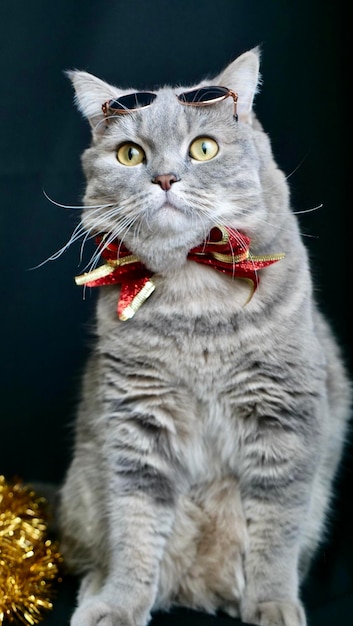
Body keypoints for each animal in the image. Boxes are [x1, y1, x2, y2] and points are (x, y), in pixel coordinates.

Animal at [57, 50, 350, 624]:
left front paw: (272, 603)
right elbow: (134, 526)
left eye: (204, 148)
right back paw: (98, 590)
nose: (165, 178)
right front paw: (119, 604)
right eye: (130, 154)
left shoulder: (286, 417)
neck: (197, 300)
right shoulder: (137, 420)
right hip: (81, 491)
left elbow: (276, 532)